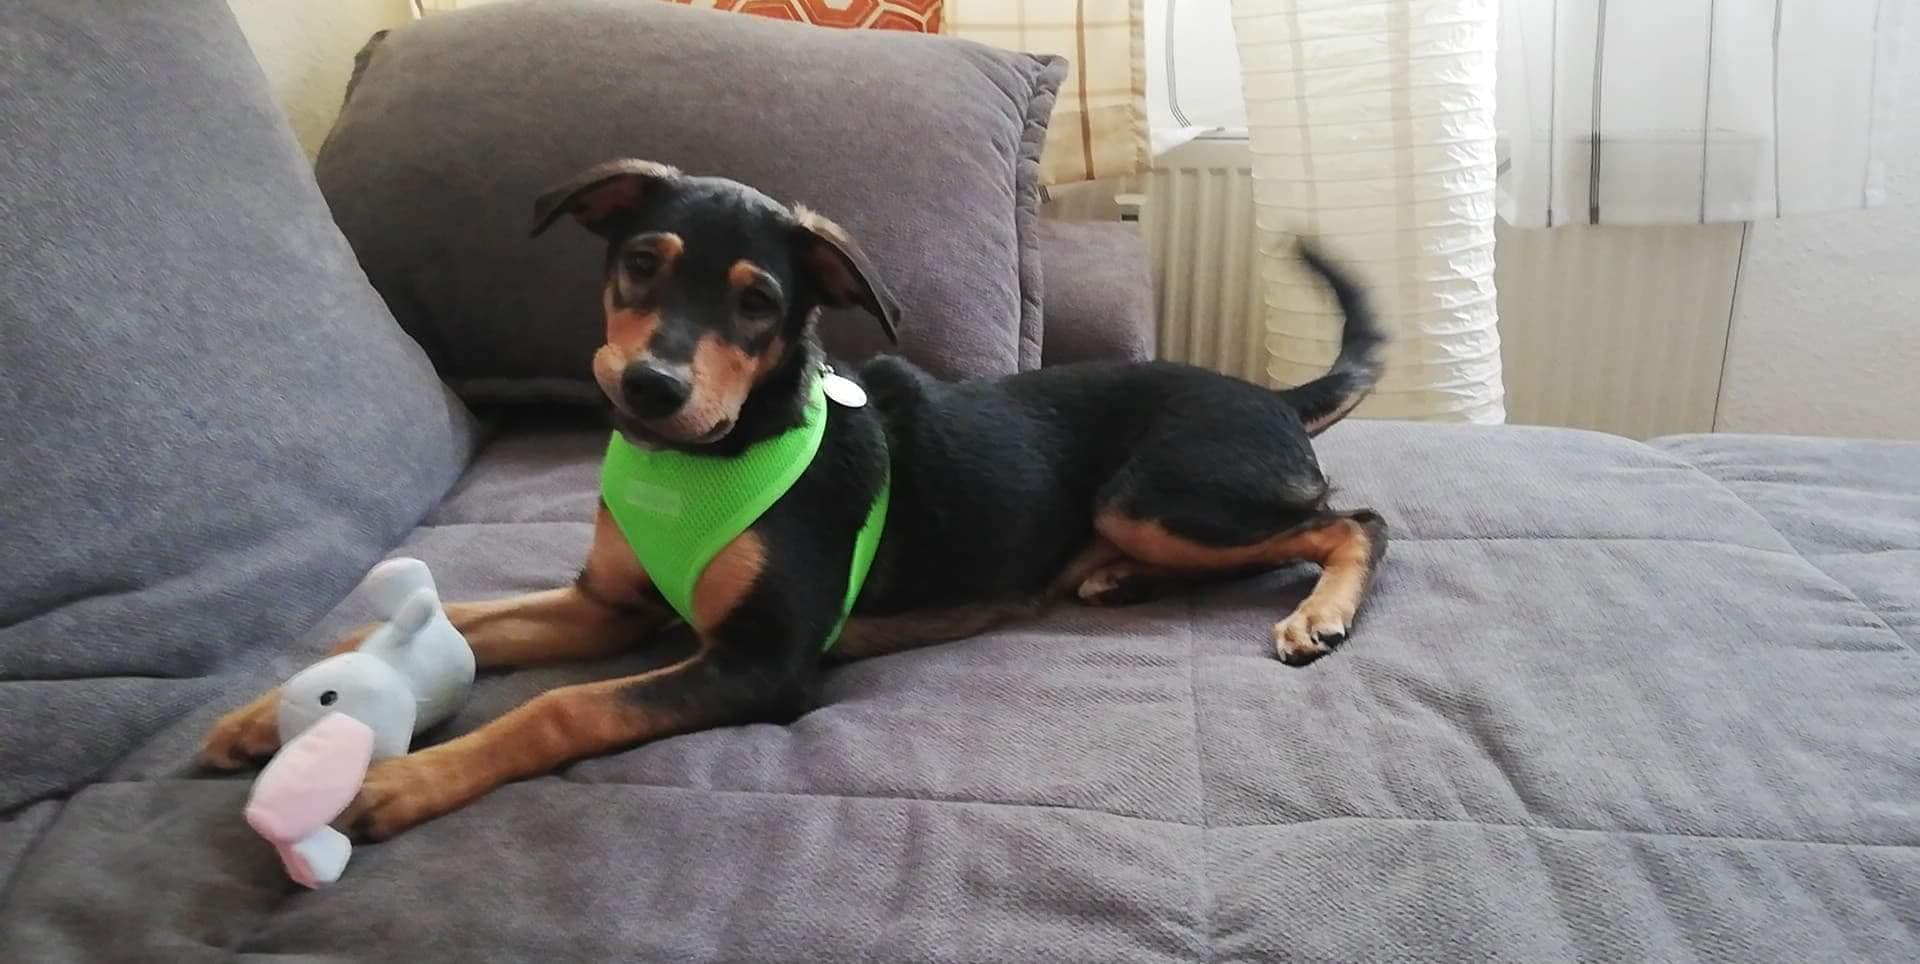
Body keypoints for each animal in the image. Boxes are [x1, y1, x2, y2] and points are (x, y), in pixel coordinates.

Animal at [202, 158, 1390, 837]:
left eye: (760, 303)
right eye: (641, 263)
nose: (651, 388)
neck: (699, 460)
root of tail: (1271, 395)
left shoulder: (761, 661)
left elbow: (560, 706)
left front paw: (404, 782)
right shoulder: (606, 606)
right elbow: (452, 620)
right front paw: (273, 710)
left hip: (1160, 492)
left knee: (1354, 519)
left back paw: (1316, 613)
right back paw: (1116, 583)